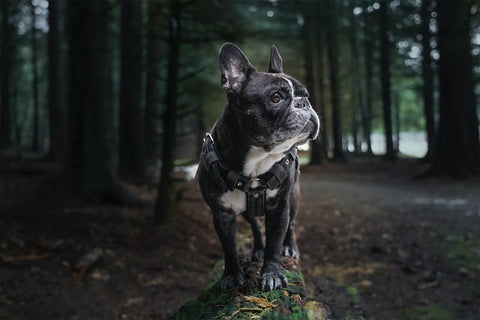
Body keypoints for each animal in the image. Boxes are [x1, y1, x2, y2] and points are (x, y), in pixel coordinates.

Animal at [197, 43, 320, 292]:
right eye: (276, 97)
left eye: (306, 95)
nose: (304, 103)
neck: (257, 161)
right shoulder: (222, 215)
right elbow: (229, 248)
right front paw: (232, 275)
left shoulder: (280, 207)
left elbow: (275, 242)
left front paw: (272, 274)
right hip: (246, 211)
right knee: (255, 224)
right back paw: (258, 248)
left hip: (294, 197)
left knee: (291, 225)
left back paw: (289, 247)